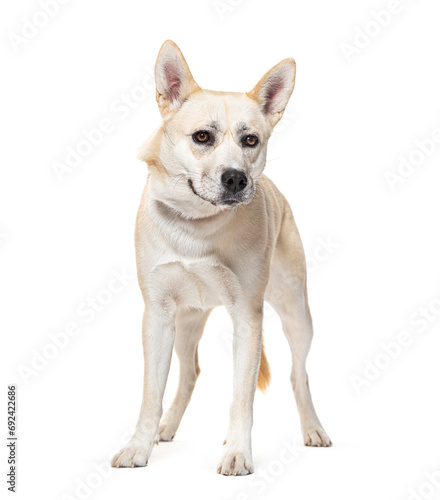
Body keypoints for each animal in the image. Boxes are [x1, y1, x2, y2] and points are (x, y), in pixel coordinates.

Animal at [111, 41, 332, 474]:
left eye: (251, 140)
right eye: (202, 136)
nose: (236, 178)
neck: (197, 226)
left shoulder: (248, 317)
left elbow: (241, 397)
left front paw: (238, 452)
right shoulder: (158, 315)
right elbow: (151, 392)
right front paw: (139, 445)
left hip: (297, 313)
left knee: (298, 373)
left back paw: (312, 427)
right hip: (186, 322)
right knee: (190, 372)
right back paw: (167, 427)